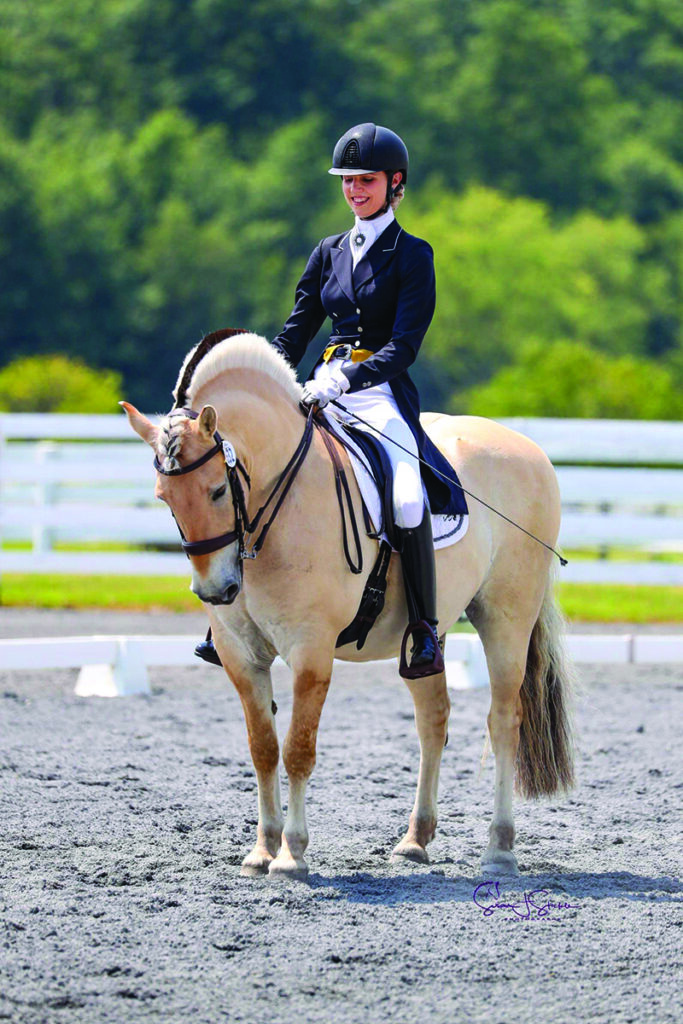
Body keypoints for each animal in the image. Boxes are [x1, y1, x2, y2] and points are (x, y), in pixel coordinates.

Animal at [121, 333, 573, 880]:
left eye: (216, 490)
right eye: (163, 497)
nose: (216, 590)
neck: (273, 506)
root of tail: (529, 449)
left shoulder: (311, 650)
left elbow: (298, 749)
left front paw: (291, 855)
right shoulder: (239, 654)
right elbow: (263, 749)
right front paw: (261, 851)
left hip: (506, 618)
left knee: (504, 721)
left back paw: (499, 849)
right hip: (425, 634)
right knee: (433, 720)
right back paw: (414, 840)